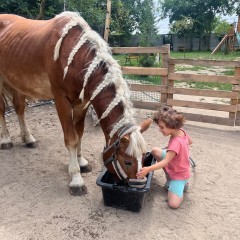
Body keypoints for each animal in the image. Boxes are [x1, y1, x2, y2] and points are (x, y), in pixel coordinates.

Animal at [0, 11, 152, 195]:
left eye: (144, 156)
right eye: (127, 161)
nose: (140, 184)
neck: (75, 57)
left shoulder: (82, 103)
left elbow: (79, 135)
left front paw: (81, 162)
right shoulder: (61, 101)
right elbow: (71, 138)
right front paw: (76, 178)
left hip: (17, 82)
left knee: (19, 108)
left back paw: (28, 138)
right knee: (2, 109)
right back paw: (6, 140)